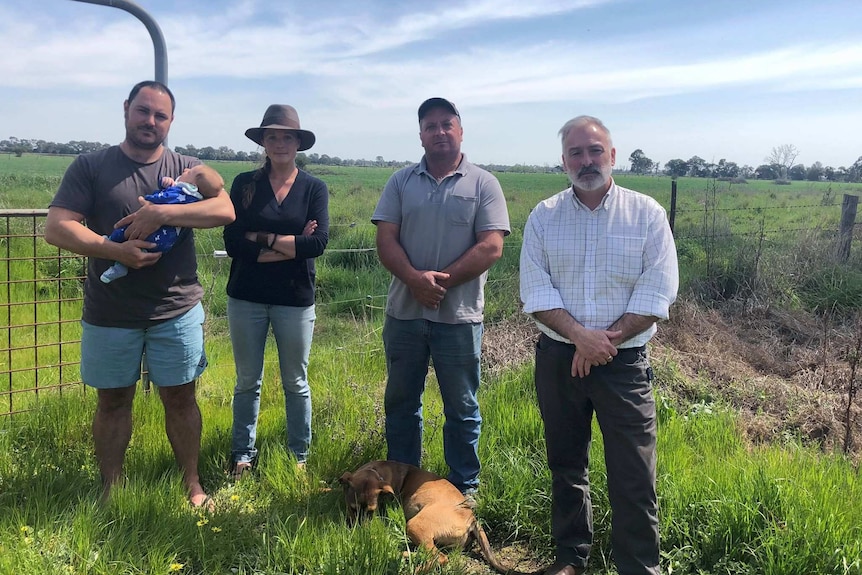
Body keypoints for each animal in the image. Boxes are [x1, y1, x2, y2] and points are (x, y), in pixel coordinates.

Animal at [340, 462, 536, 572]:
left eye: (371, 511)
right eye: (352, 509)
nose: (360, 533)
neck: (376, 471)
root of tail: (472, 519)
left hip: (414, 525)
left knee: (439, 558)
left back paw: (413, 569)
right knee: (429, 553)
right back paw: (402, 554)